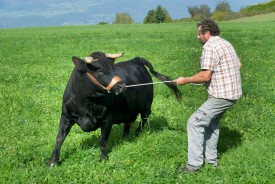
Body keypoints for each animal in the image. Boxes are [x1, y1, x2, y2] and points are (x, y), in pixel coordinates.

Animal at [48, 51, 182, 166]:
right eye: (100, 72)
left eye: (113, 69)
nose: (122, 85)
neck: (86, 103)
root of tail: (137, 59)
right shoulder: (66, 116)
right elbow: (59, 138)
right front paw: (53, 161)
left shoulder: (107, 119)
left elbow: (102, 140)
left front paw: (103, 159)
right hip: (129, 110)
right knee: (128, 123)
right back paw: (124, 138)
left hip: (146, 105)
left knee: (144, 118)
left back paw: (138, 133)